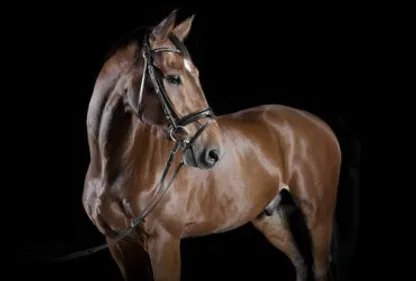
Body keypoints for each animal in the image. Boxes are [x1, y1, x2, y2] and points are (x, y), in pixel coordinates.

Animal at [78, 8, 358, 280]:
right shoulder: (119, 245)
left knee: (319, 268)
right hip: (270, 218)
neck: (117, 167)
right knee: (301, 265)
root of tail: (319, 124)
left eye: (196, 74)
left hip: (317, 214)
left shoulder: (164, 242)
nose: (212, 151)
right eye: (173, 78)